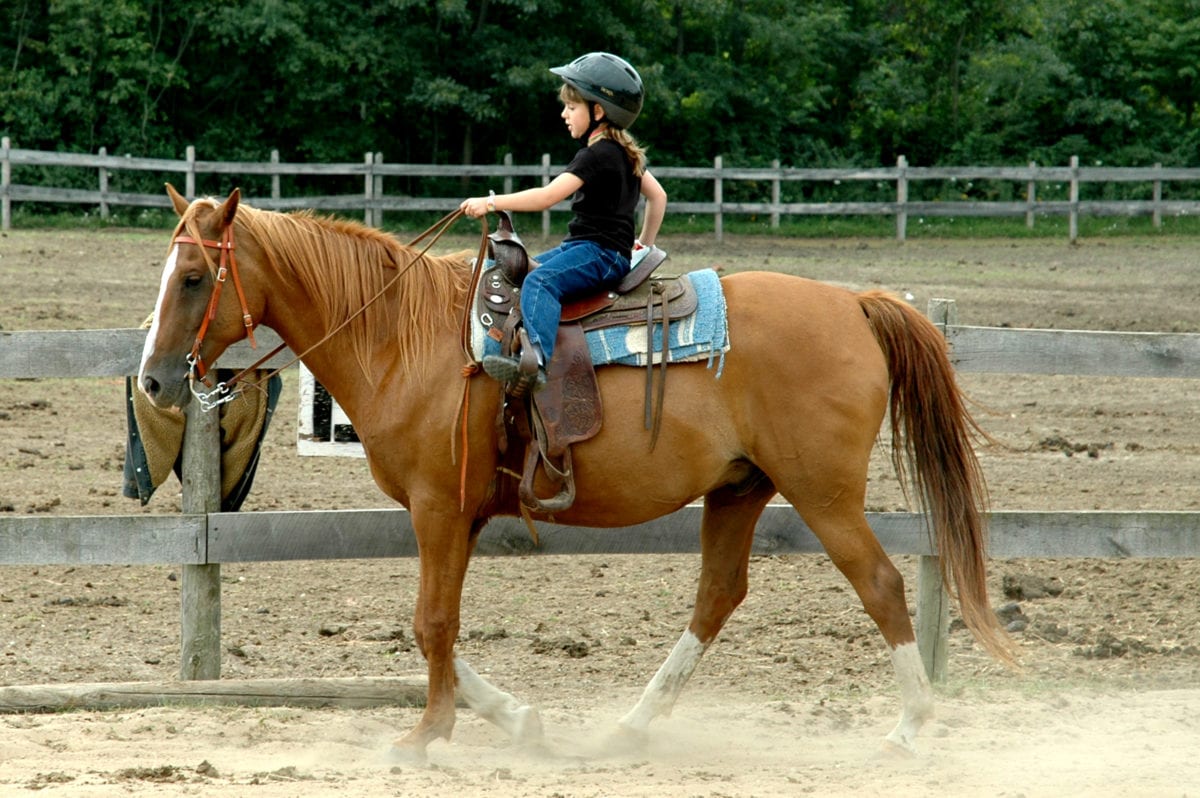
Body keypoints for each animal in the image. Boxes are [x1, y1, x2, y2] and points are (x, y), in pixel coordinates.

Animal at [138, 183, 1012, 763]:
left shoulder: (438, 508)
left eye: (195, 278)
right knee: (718, 595)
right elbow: (438, 630)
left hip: (823, 492)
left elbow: (432, 624)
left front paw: (426, 734)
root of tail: (853, 304)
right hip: (740, 487)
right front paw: (510, 716)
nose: (153, 380)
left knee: (880, 584)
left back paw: (910, 727)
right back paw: (630, 726)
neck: (403, 336)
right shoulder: (457, 514)